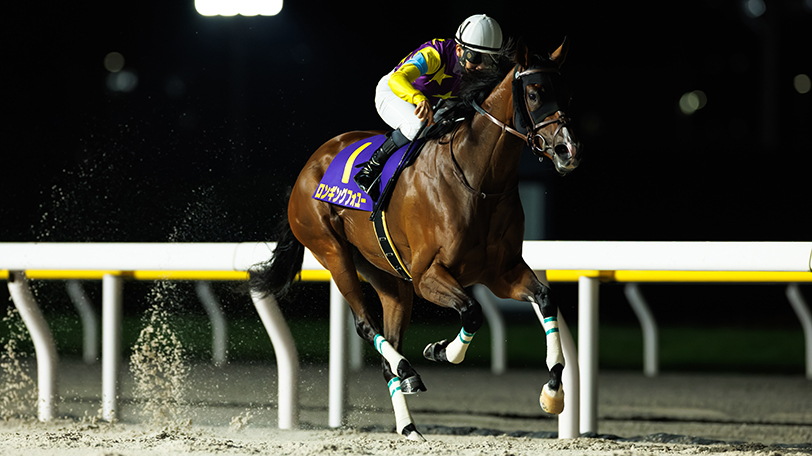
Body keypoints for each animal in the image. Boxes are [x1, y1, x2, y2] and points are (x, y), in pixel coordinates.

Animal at [251, 38, 581, 441]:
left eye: (567, 93)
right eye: (534, 94)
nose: (569, 151)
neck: (478, 179)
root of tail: (307, 168)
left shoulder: (501, 272)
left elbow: (545, 299)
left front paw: (553, 392)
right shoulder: (428, 275)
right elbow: (472, 312)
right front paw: (440, 350)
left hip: (389, 277)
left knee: (386, 351)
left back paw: (409, 425)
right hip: (332, 251)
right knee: (366, 325)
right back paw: (408, 372)